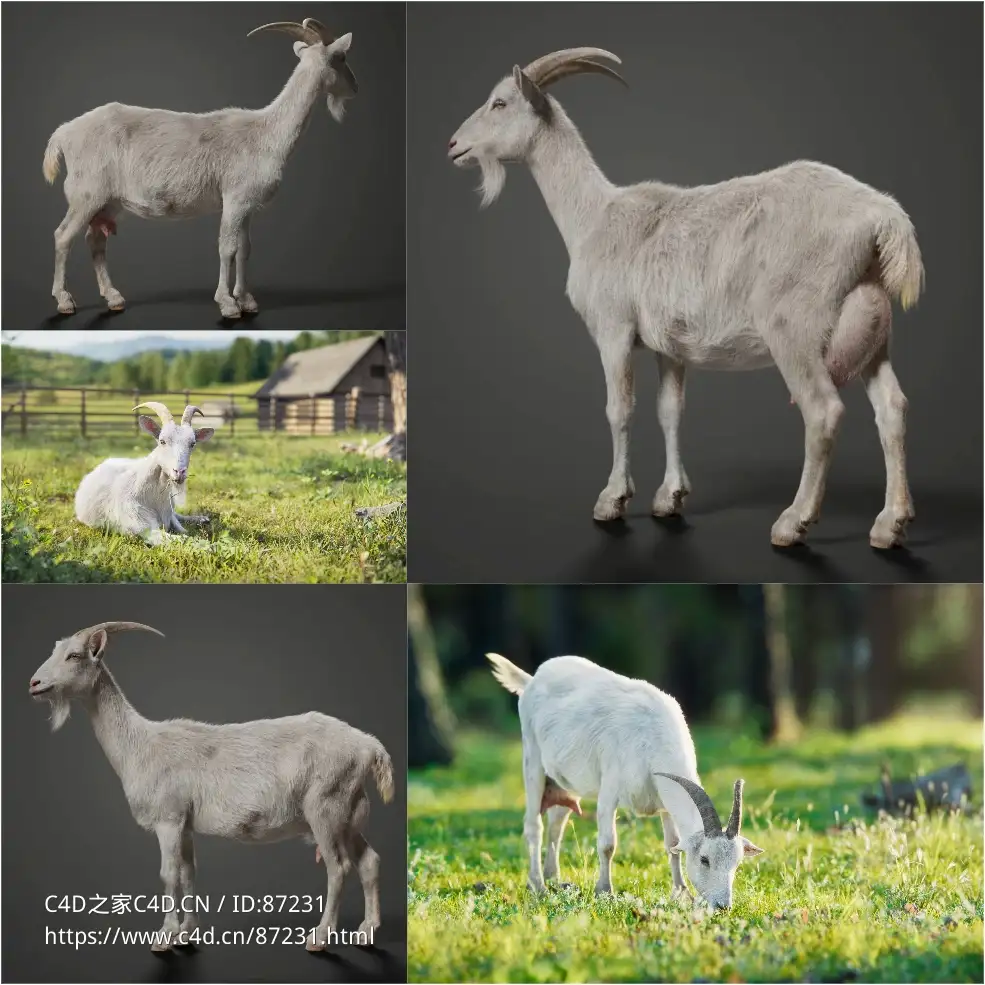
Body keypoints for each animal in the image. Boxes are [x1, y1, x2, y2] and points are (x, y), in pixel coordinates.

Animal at [29, 621, 393, 952]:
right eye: (54, 651)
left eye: (74, 655)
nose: (34, 683)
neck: (139, 745)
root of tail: (368, 746)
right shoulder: (185, 824)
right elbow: (189, 872)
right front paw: (187, 933)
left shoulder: (168, 819)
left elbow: (168, 874)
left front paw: (164, 937)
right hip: (348, 811)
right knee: (370, 861)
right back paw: (366, 932)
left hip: (325, 807)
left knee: (339, 867)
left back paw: (319, 938)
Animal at [43, 18, 357, 319]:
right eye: (341, 57)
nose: (355, 88)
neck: (265, 133)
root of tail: (63, 133)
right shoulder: (234, 199)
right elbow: (227, 248)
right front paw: (228, 304)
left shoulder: (246, 205)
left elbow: (245, 249)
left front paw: (246, 300)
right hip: (86, 193)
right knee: (63, 236)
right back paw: (65, 301)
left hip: (109, 201)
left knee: (95, 240)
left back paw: (114, 298)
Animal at [74, 402, 213, 546]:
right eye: (162, 441)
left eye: (192, 443)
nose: (179, 472)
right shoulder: (142, 527)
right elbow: (179, 539)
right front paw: (208, 546)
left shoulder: (168, 515)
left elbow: (181, 529)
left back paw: (202, 519)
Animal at [450, 49, 924, 549]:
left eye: (500, 102)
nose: (453, 145)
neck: (593, 218)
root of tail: (884, 217)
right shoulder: (669, 345)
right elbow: (670, 411)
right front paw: (670, 498)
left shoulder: (614, 329)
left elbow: (619, 410)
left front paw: (612, 500)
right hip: (872, 327)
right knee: (892, 409)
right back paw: (890, 524)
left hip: (793, 326)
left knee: (822, 411)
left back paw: (794, 521)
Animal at [487, 653, 763, 909]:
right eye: (705, 859)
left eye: (737, 863)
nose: (723, 906)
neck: (651, 739)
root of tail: (532, 679)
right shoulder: (610, 788)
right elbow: (607, 844)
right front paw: (604, 891)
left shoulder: (664, 802)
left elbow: (672, 845)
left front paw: (681, 893)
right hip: (532, 757)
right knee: (534, 825)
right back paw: (537, 885)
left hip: (564, 781)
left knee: (557, 821)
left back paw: (553, 878)